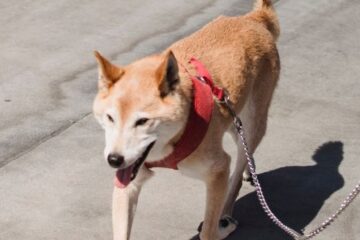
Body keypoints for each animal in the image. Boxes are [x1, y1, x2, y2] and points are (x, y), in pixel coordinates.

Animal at [91, 0, 280, 239]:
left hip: (253, 122)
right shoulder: (129, 181)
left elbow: (208, 232)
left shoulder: (218, 169)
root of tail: (252, 19)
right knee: (242, 146)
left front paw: (216, 226)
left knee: (236, 173)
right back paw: (249, 168)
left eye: (142, 121)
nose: (114, 159)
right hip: (234, 117)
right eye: (110, 117)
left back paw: (226, 216)